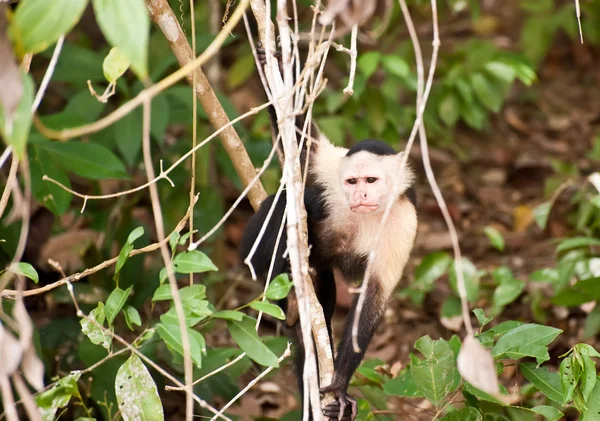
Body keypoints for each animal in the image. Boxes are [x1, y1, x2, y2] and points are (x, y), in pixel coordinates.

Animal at [239, 46, 418, 420]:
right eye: (352, 181)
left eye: (371, 181)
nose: (359, 194)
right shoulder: (332, 168)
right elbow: (301, 142)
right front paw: (270, 63)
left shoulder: (404, 220)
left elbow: (374, 295)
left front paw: (340, 382)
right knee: (292, 204)